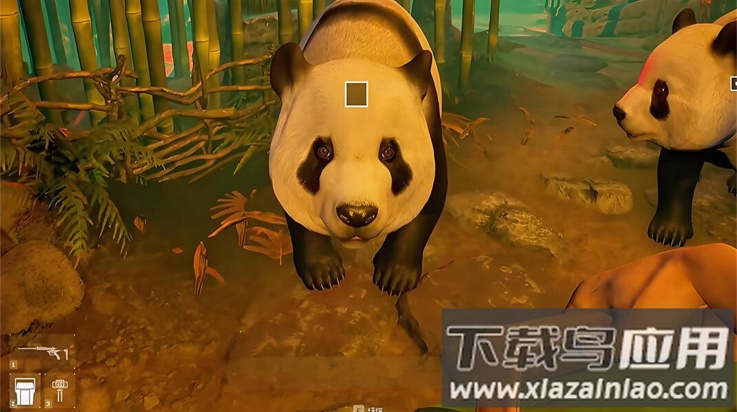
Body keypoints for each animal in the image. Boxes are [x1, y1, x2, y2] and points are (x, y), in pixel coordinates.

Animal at [268, 0, 447, 296]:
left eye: (389, 152)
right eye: (323, 151)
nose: (357, 214)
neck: (359, 50)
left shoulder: (429, 123)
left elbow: (429, 199)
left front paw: (395, 275)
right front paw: (323, 271)